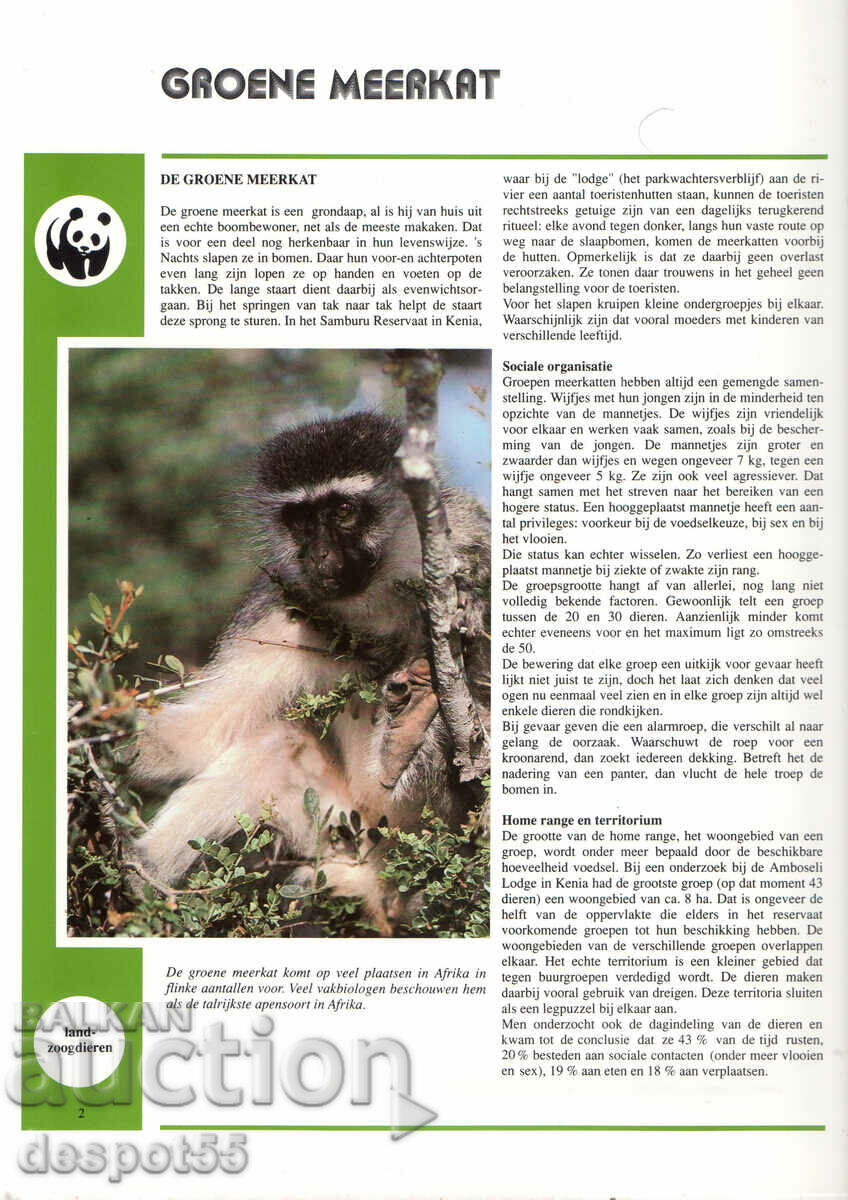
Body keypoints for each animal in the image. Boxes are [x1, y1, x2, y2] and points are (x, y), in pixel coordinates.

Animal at [128, 411, 490, 935]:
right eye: (299, 521)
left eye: (343, 511)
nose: (318, 556)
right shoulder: (278, 611)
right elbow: (199, 737)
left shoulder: (472, 539)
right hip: (340, 829)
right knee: (276, 744)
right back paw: (141, 883)